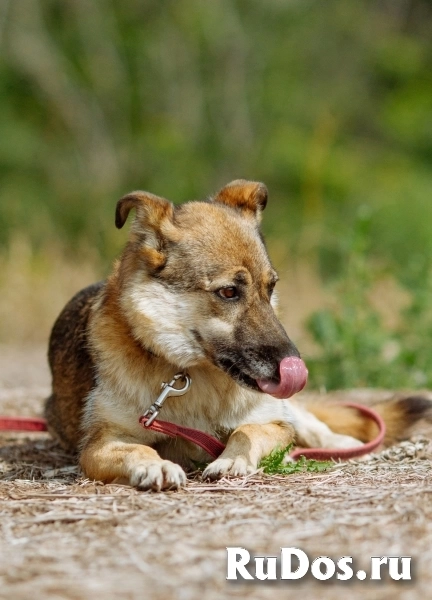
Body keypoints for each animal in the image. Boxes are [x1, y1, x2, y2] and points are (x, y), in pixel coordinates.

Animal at [44, 180, 432, 490]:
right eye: (229, 292)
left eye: (270, 287)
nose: (295, 368)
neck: (194, 377)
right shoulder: (99, 445)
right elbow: (137, 447)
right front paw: (156, 466)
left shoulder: (273, 422)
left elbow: (249, 431)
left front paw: (232, 458)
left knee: (313, 424)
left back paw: (338, 444)